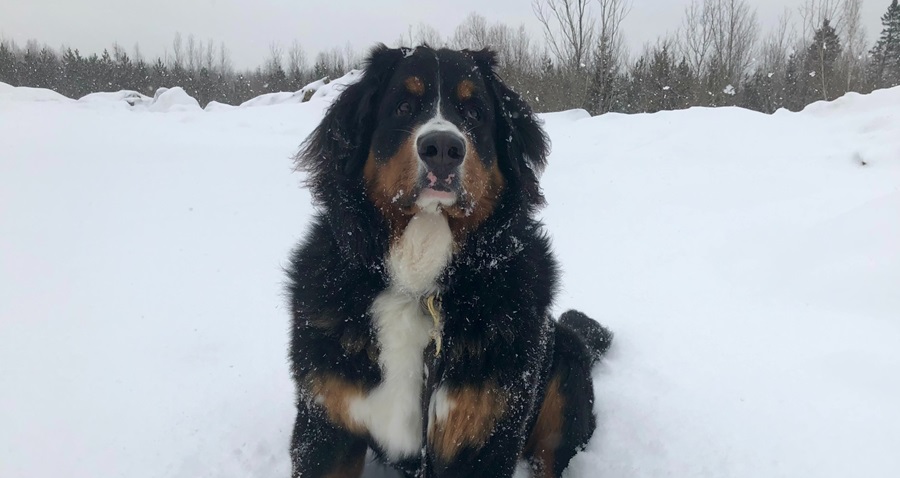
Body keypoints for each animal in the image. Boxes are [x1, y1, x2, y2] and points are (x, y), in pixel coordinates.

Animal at [288, 44, 612, 478]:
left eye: (474, 113)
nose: (442, 148)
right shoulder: (326, 420)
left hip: (564, 382)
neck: (418, 284)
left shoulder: (483, 431)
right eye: (403, 106)